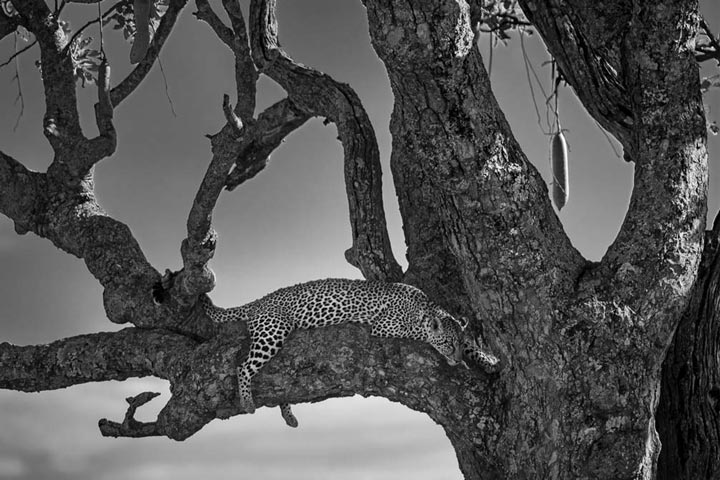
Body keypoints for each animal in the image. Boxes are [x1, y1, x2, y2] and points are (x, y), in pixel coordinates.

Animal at [200, 278, 474, 427]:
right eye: (448, 344)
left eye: (458, 344)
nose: (456, 358)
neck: (425, 307)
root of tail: (258, 301)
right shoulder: (385, 326)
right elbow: (420, 334)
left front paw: (472, 357)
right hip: (273, 331)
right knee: (243, 366)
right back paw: (247, 402)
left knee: (281, 386)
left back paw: (289, 417)